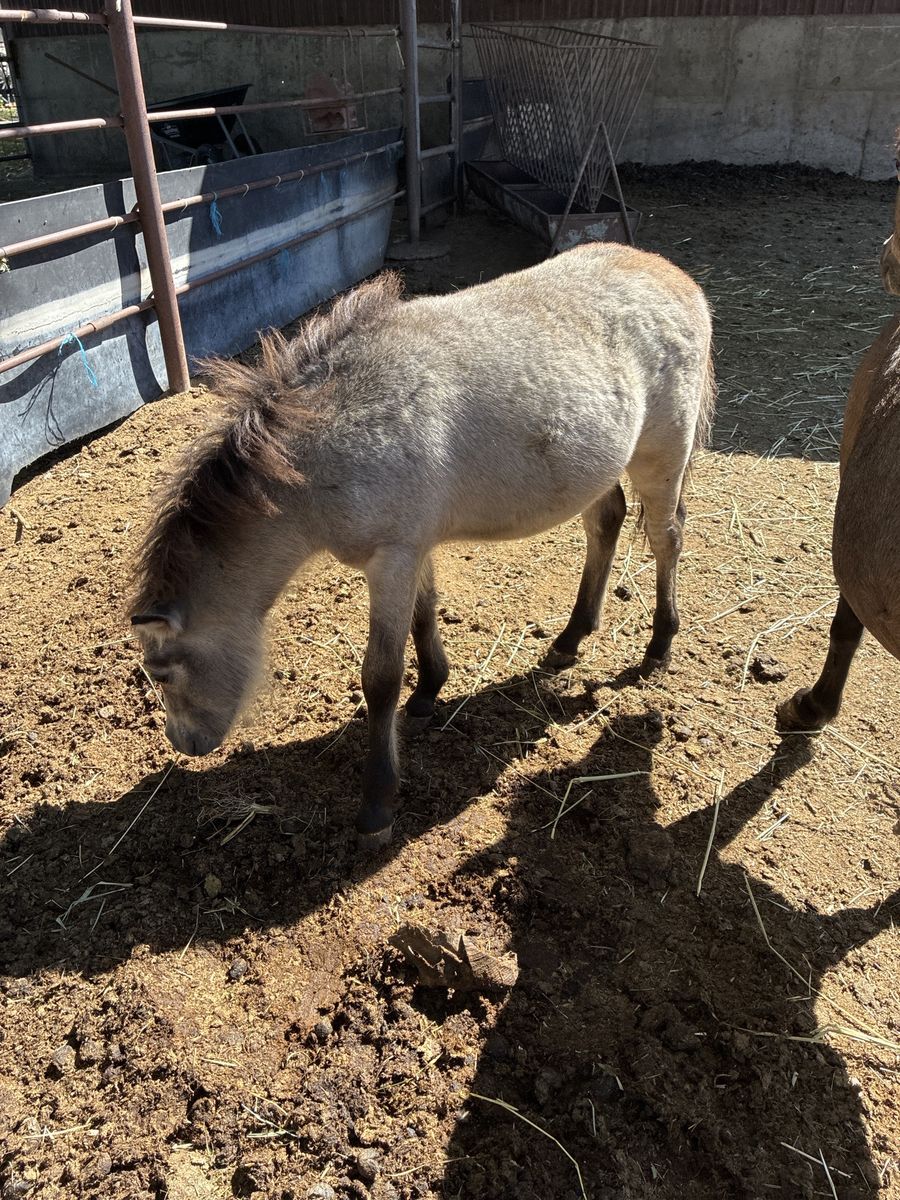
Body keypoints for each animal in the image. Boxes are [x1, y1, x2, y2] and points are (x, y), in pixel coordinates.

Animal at [130, 244, 715, 846]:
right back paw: (570, 638)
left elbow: (381, 678)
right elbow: (424, 615)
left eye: (162, 673)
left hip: (661, 456)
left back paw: (659, 645)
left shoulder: (392, 558)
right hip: (599, 469)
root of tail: (678, 279)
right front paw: (431, 690)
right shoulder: (414, 547)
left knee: (667, 537)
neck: (331, 436)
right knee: (607, 521)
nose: (183, 743)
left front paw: (377, 804)